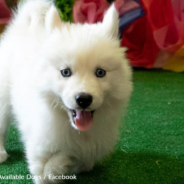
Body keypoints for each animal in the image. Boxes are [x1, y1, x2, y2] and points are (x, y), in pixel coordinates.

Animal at [0, 0, 132, 183]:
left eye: (100, 72)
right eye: (65, 72)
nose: (83, 99)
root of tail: (22, 25)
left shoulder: (96, 142)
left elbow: (81, 155)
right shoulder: (40, 147)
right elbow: (48, 169)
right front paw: (58, 166)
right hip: (3, 99)